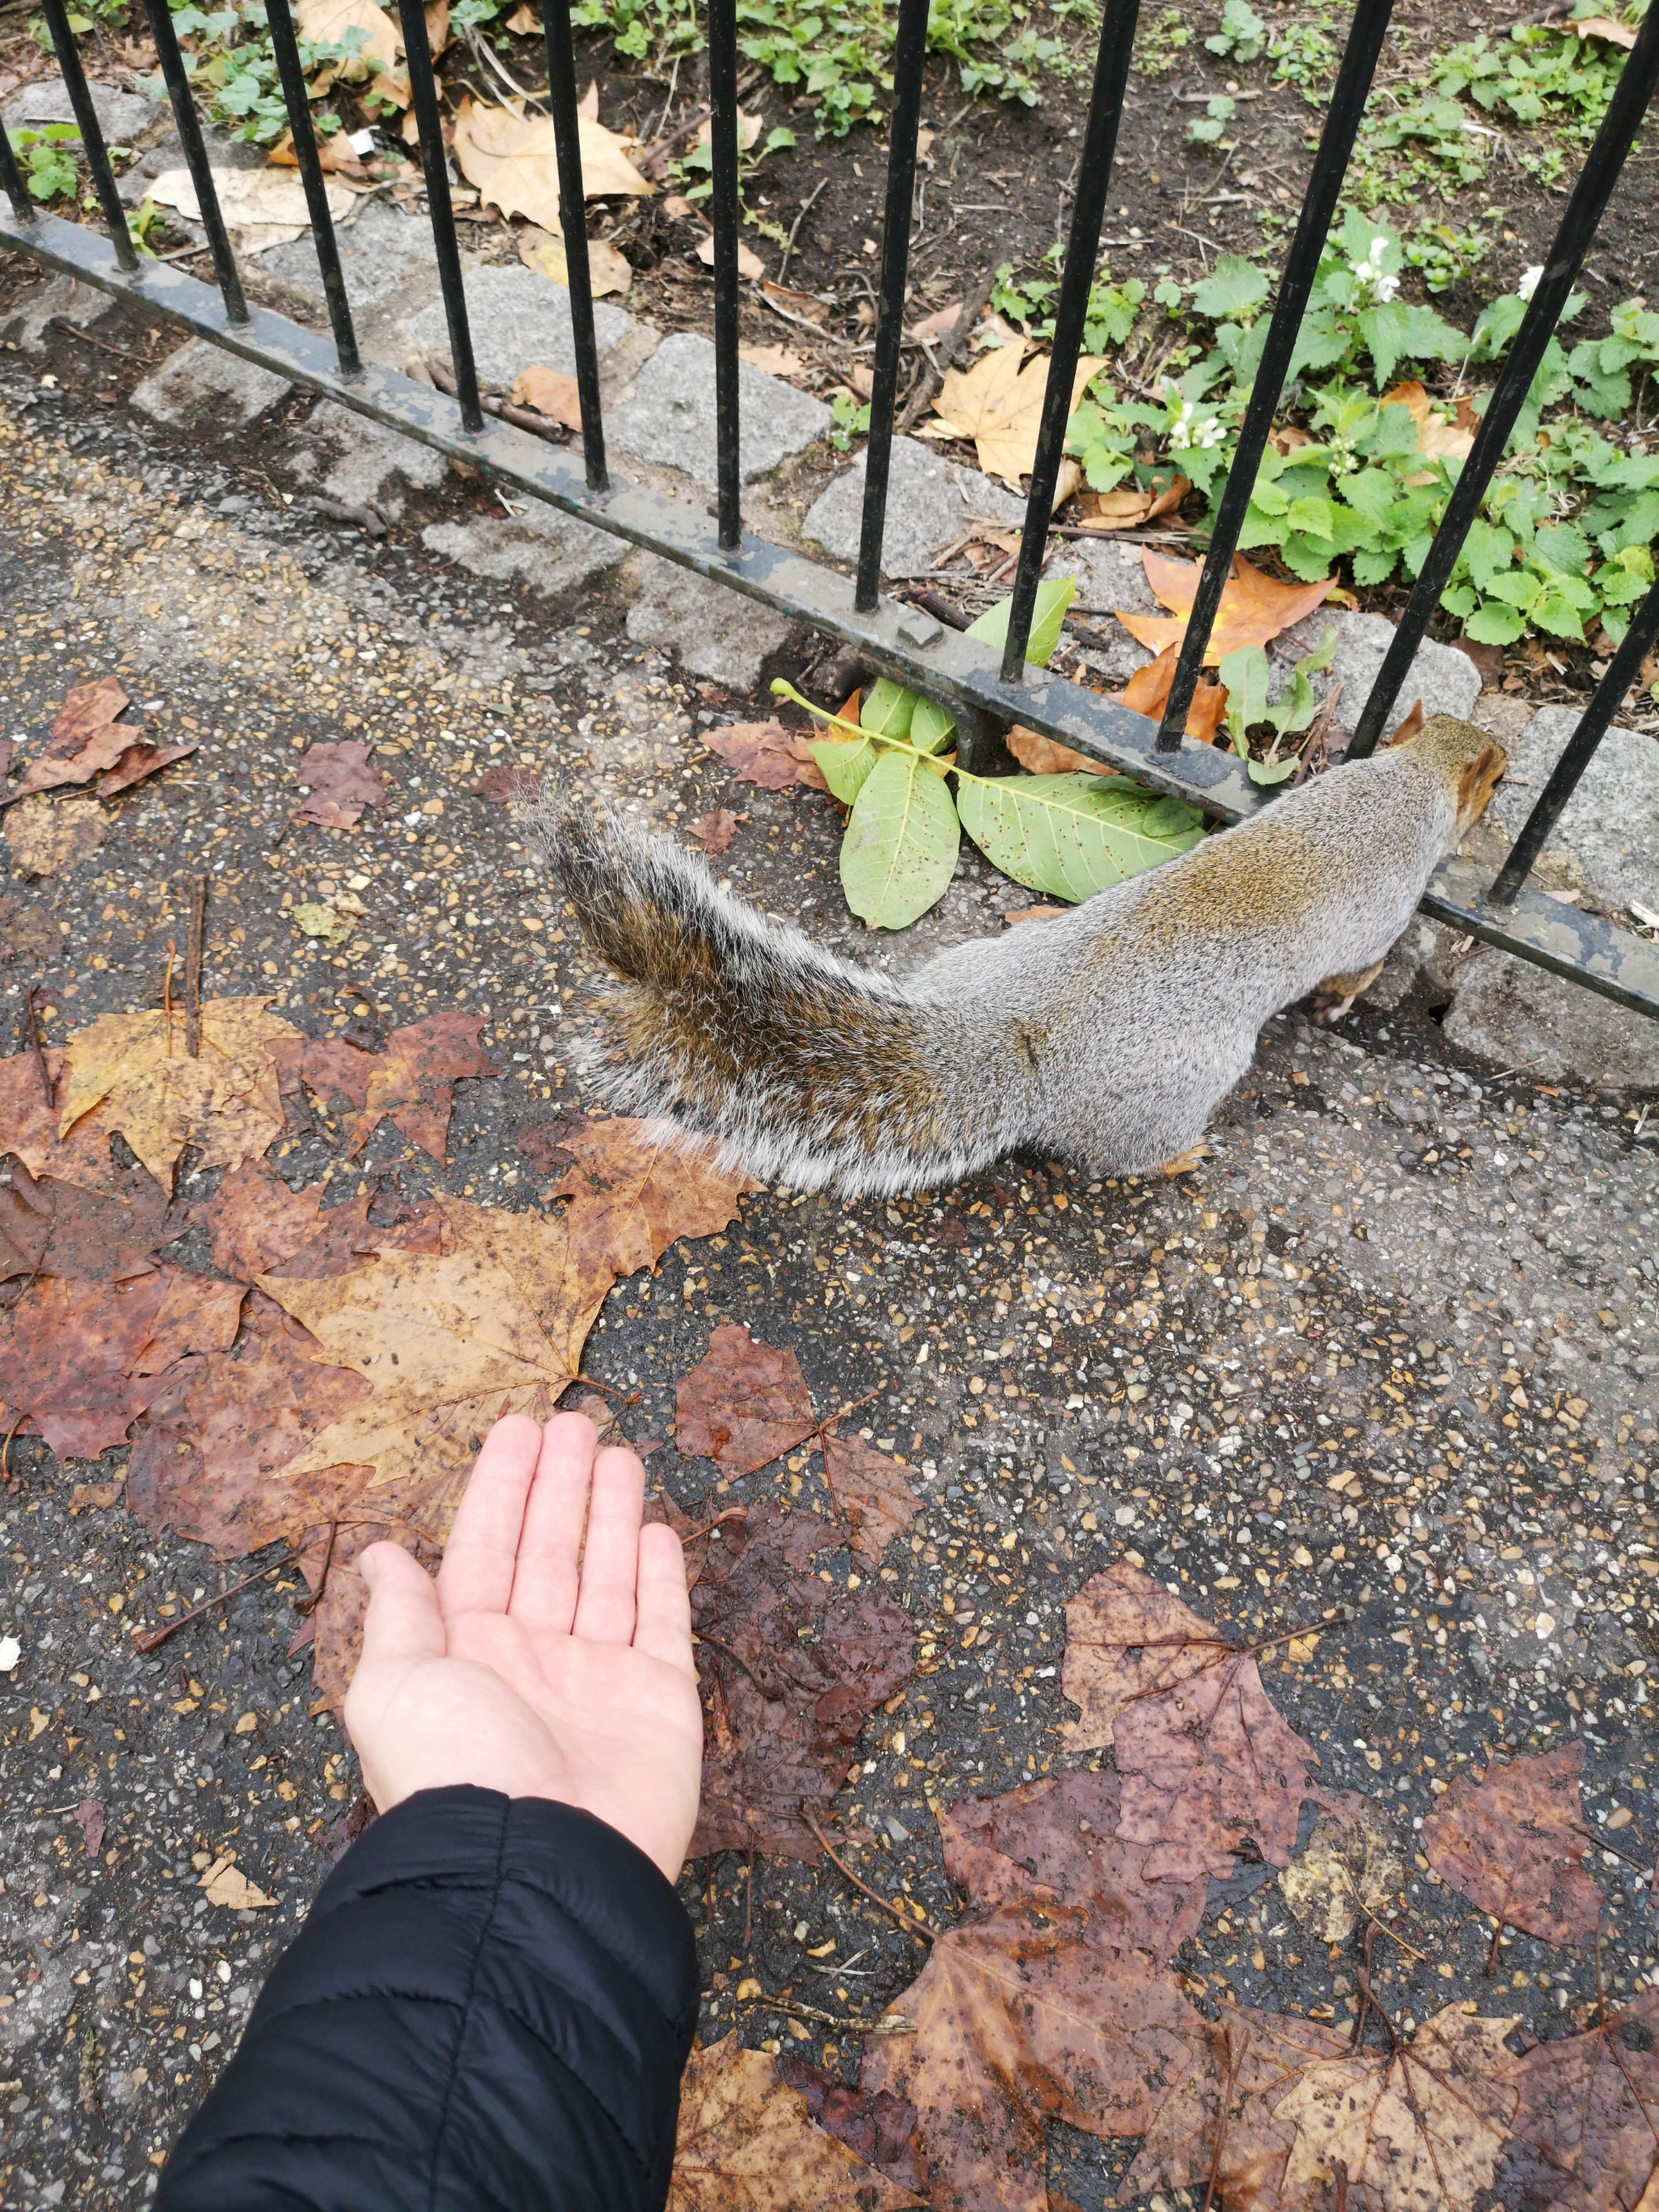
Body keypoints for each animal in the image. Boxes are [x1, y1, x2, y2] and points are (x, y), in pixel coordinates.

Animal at [546, 703, 1504, 1194]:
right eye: (1493, 777)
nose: (1507, 767)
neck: (1401, 780)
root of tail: (1009, 1044)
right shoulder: (1381, 908)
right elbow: (1360, 966)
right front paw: (1346, 998)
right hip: (1177, 1088)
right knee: (1124, 1156)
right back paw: (1182, 1153)